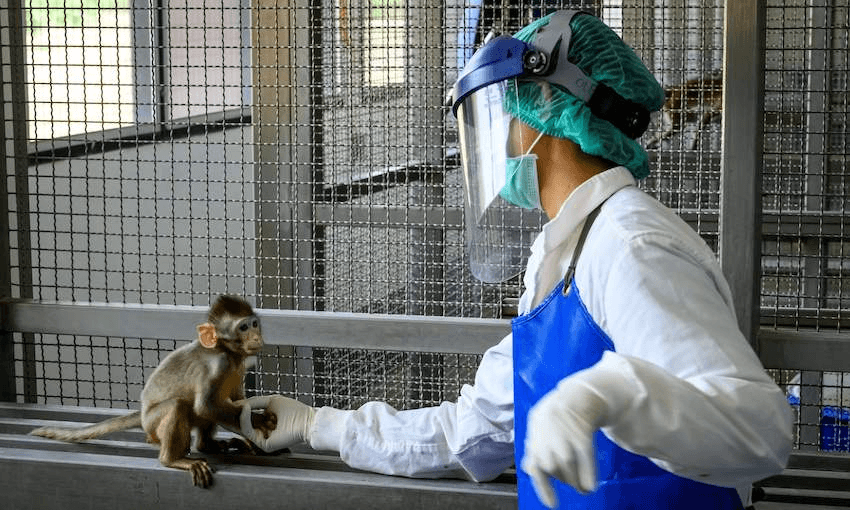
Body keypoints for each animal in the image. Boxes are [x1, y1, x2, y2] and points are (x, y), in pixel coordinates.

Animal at [31, 296, 276, 488]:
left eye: (254, 324)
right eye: (243, 328)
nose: (256, 337)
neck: (225, 351)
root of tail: (142, 415)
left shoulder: (238, 365)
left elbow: (235, 401)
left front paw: (253, 433)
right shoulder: (220, 364)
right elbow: (206, 405)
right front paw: (259, 421)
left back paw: (207, 445)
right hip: (152, 423)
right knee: (178, 406)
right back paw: (171, 459)